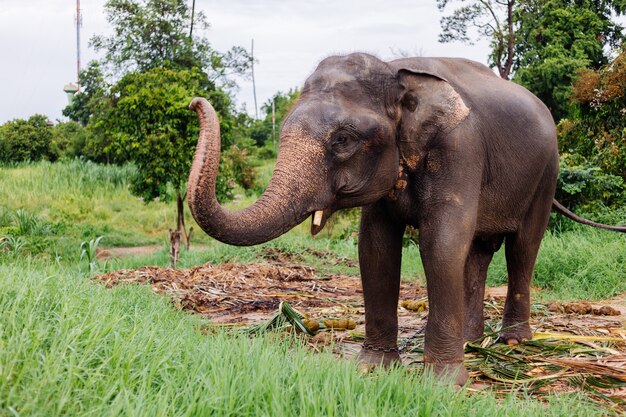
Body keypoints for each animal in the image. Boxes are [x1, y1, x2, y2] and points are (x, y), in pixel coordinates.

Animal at [186, 52, 624, 384]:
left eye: (343, 140)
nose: (194, 102)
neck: (398, 72)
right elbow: (375, 247)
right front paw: (373, 369)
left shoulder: (460, 148)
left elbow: (440, 242)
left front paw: (443, 383)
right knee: (479, 252)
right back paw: (471, 341)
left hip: (546, 173)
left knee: (523, 248)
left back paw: (511, 343)